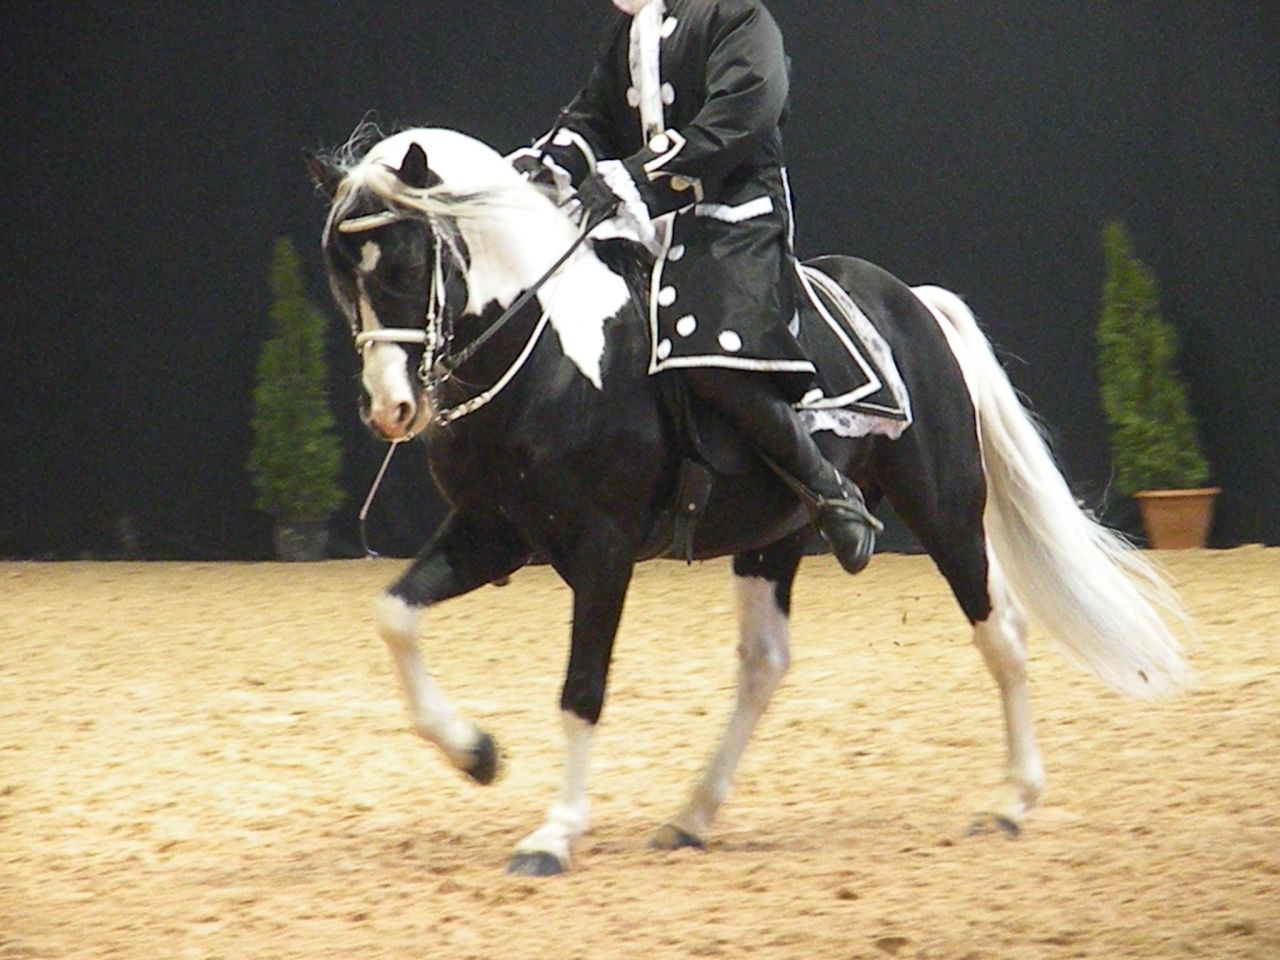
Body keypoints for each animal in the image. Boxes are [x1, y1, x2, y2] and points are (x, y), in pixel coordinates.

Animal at [305, 126, 1190, 876]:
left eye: (404, 267)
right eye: (343, 280)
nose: (391, 410)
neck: (555, 353)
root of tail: (912, 301)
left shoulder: (601, 549)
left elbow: (582, 687)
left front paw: (552, 835)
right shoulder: (492, 535)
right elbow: (394, 614)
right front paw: (477, 755)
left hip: (944, 509)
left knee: (999, 630)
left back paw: (1009, 801)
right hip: (774, 534)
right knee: (765, 664)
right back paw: (692, 815)